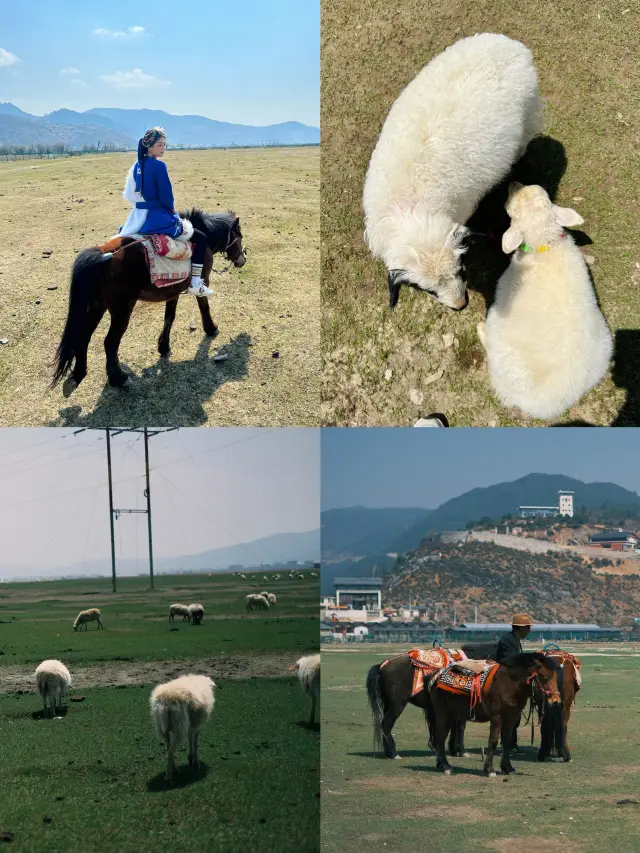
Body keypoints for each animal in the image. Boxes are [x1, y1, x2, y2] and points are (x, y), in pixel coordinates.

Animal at [49, 208, 245, 394]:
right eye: (240, 237)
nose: (242, 260)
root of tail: (104, 255)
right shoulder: (203, 279)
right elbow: (204, 306)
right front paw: (211, 328)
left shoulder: (173, 291)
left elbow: (169, 317)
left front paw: (163, 347)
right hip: (122, 310)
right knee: (110, 343)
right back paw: (119, 378)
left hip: (96, 307)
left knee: (83, 338)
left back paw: (77, 377)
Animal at [362, 35, 544, 312]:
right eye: (427, 289)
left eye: (461, 269)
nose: (460, 305)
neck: (412, 209)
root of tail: (512, 45)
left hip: (530, 110)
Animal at [364, 640, 496, 760]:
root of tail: (381, 666)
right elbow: (460, 727)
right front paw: (462, 751)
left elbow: (455, 728)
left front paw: (454, 750)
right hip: (397, 705)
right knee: (386, 724)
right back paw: (394, 754)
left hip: (388, 704)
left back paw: (388, 753)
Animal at [430, 648, 560, 776]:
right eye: (544, 676)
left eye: (555, 676)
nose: (555, 701)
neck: (510, 684)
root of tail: (435, 677)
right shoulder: (497, 717)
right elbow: (493, 741)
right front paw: (489, 769)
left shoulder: (511, 717)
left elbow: (507, 740)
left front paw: (507, 767)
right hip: (443, 713)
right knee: (440, 736)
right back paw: (446, 766)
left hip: (452, 714)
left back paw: (440, 763)